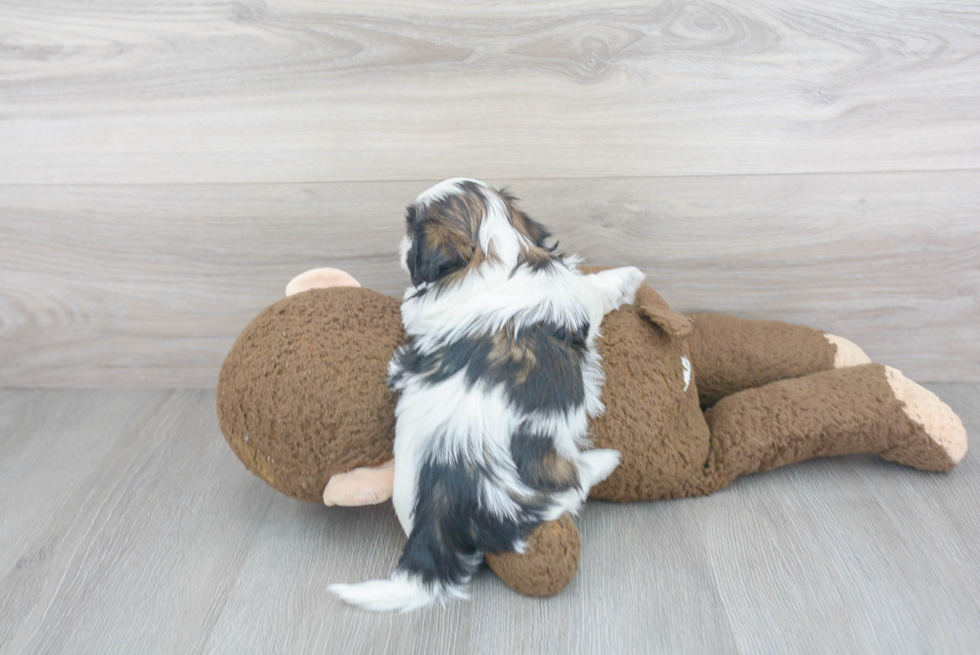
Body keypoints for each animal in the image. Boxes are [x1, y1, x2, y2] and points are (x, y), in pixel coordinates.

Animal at [334, 178, 648, 608]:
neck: (496, 255)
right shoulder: (576, 295)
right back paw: (604, 461)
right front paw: (629, 277)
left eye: (411, 230)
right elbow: (594, 287)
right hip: (536, 484)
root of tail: (436, 520)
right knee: (569, 491)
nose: (399, 246)